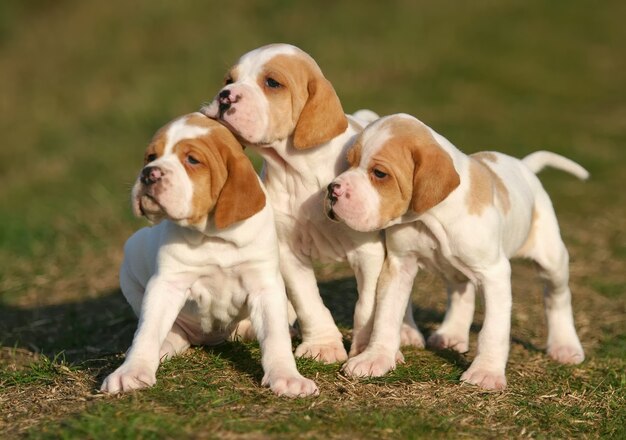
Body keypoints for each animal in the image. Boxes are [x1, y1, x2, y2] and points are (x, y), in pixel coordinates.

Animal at [103, 111, 320, 398]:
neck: (213, 235)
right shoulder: (166, 284)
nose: (148, 174)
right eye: (150, 157)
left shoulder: (265, 285)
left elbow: (275, 337)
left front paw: (287, 377)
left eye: (192, 160)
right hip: (132, 255)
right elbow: (147, 331)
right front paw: (131, 371)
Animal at [200, 44, 424, 362]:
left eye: (272, 83)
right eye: (228, 80)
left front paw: (366, 351)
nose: (224, 96)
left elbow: (368, 307)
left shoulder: (367, 253)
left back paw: (406, 332)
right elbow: (308, 301)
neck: (299, 170)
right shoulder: (288, 252)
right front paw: (323, 345)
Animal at [326, 114, 584, 392]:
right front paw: (376, 358)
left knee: (558, 298)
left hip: (552, 261)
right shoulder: (399, 266)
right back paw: (451, 335)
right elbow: (386, 317)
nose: (332, 190)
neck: (430, 218)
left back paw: (565, 346)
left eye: (379, 173)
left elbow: (493, 330)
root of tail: (523, 165)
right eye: (348, 163)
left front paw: (486, 373)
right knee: (462, 293)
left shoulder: (494, 274)